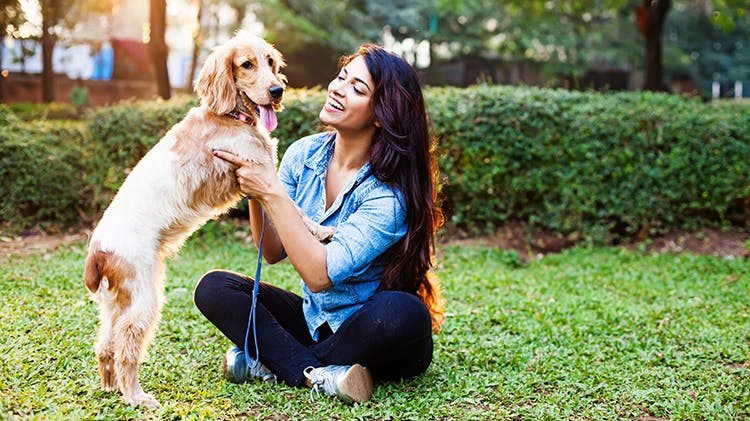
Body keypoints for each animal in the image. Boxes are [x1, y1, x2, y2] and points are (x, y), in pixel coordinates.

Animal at [83, 31, 334, 406]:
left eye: (270, 62)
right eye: (246, 64)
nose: (277, 91)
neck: (229, 116)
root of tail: (97, 249)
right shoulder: (258, 171)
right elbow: (297, 210)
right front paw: (320, 231)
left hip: (118, 302)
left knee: (105, 344)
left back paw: (112, 387)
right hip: (143, 299)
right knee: (127, 347)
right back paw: (137, 397)